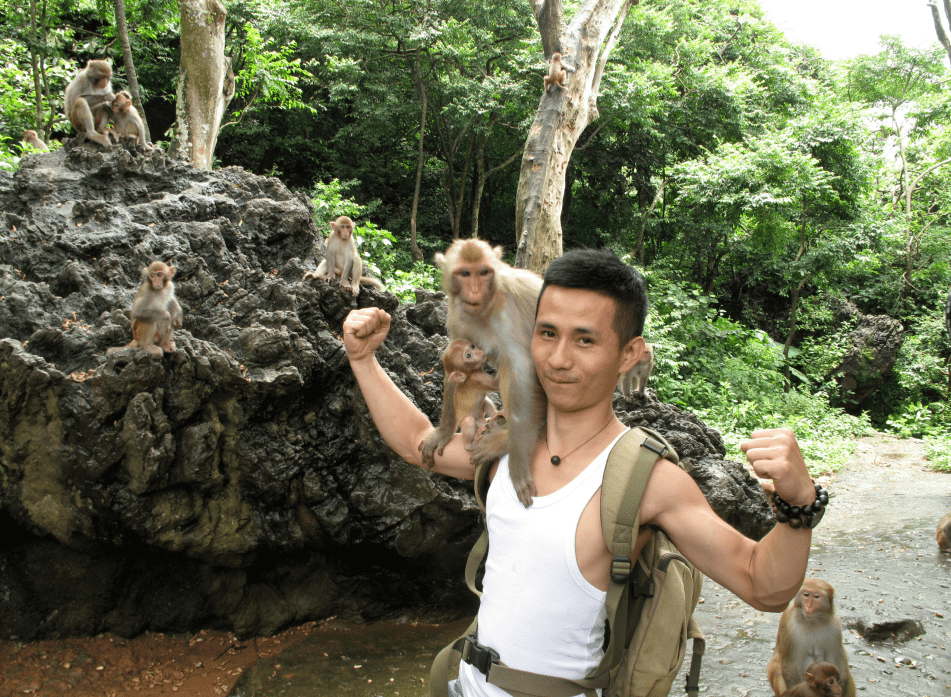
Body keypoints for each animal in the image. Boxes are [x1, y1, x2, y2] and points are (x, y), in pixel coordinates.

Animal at [422, 239, 548, 506]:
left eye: (483, 273)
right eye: (465, 274)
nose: (474, 291)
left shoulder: (508, 313)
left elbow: (521, 370)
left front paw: (517, 460)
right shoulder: (456, 314)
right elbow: (451, 367)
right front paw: (443, 433)